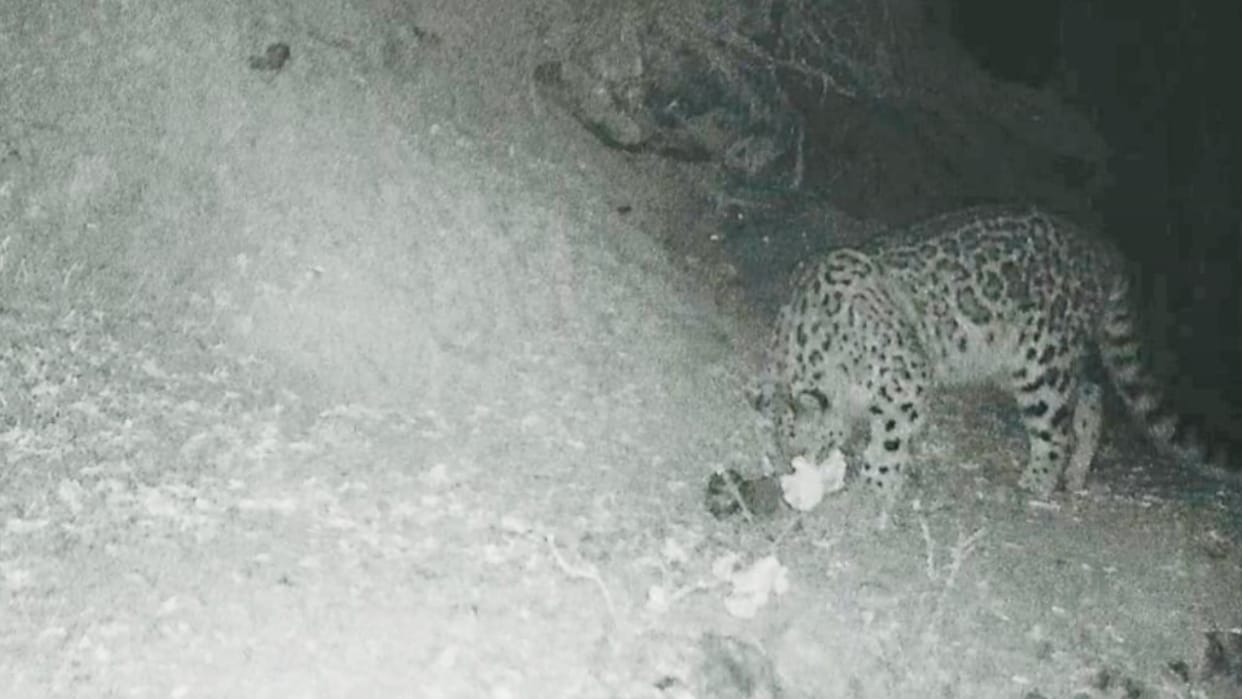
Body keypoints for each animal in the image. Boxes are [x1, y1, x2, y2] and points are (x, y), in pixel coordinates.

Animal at [758, 204, 1238, 497]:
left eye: (806, 446)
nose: (802, 468)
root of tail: (1102, 250)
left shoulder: (905, 378)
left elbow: (891, 439)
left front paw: (876, 484)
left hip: (1042, 363)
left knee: (1056, 428)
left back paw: (1037, 483)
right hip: (1047, 361)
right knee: (1090, 395)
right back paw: (1077, 474)